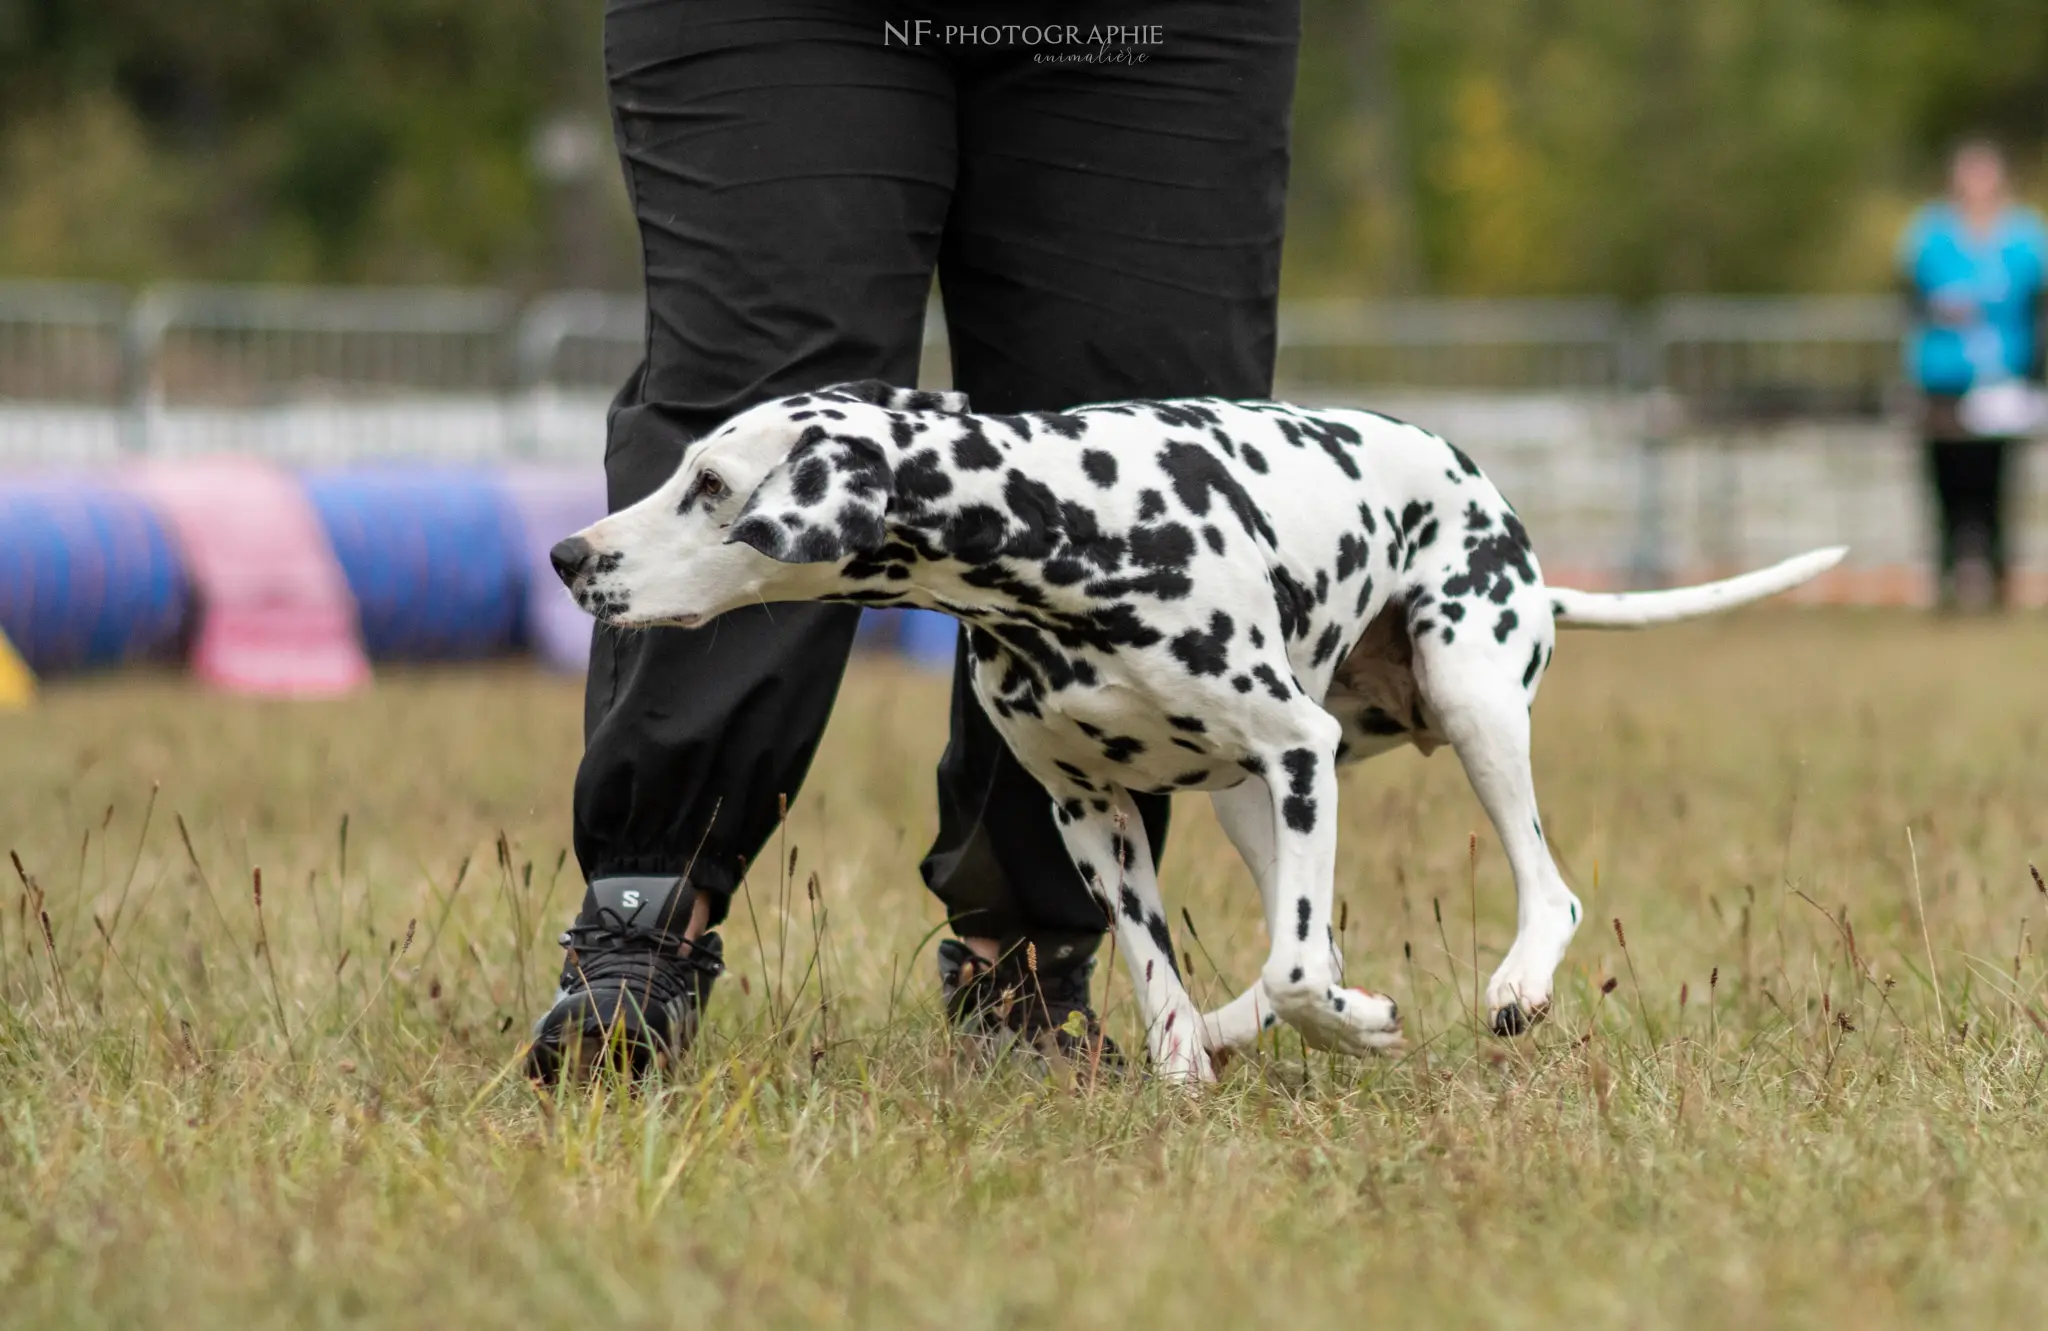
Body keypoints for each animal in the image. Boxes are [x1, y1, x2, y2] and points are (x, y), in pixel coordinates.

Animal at [552, 376, 1851, 1081]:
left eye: (712, 488)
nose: (569, 553)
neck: (1063, 533)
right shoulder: (1088, 809)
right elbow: (1162, 971)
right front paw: (1189, 1065)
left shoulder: (1294, 750)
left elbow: (1291, 969)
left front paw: (1341, 1029)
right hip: (1243, 798)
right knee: (1311, 936)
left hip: (1459, 704)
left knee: (1537, 892)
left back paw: (1509, 985)